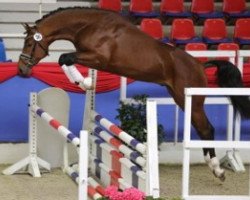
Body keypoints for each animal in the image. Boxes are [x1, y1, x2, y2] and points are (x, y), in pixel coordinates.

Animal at [18, 6, 250, 181]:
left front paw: (83, 82)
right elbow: (65, 60)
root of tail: (200, 65)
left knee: (206, 129)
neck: (90, 25)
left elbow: (64, 58)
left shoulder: (98, 58)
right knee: (202, 129)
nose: (21, 70)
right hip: (181, 99)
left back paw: (217, 169)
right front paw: (84, 82)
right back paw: (213, 166)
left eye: (29, 43)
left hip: (191, 99)